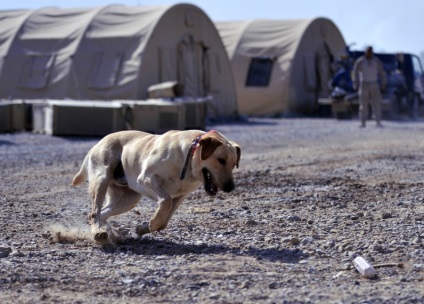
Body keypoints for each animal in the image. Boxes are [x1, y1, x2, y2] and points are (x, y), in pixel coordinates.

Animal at [71, 130, 240, 242]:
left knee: (101, 214)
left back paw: (107, 231)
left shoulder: (180, 196)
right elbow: (165, 202)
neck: (187, 156)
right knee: (95, 212)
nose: (230, 187)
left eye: (233, 164)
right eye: (221, 160)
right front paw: (151, 222)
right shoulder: (147, 178)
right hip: (102, 180)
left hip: (128, 200)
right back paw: (99, 233)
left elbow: (164, 221)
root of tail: (98, 142)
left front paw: (144, 228)